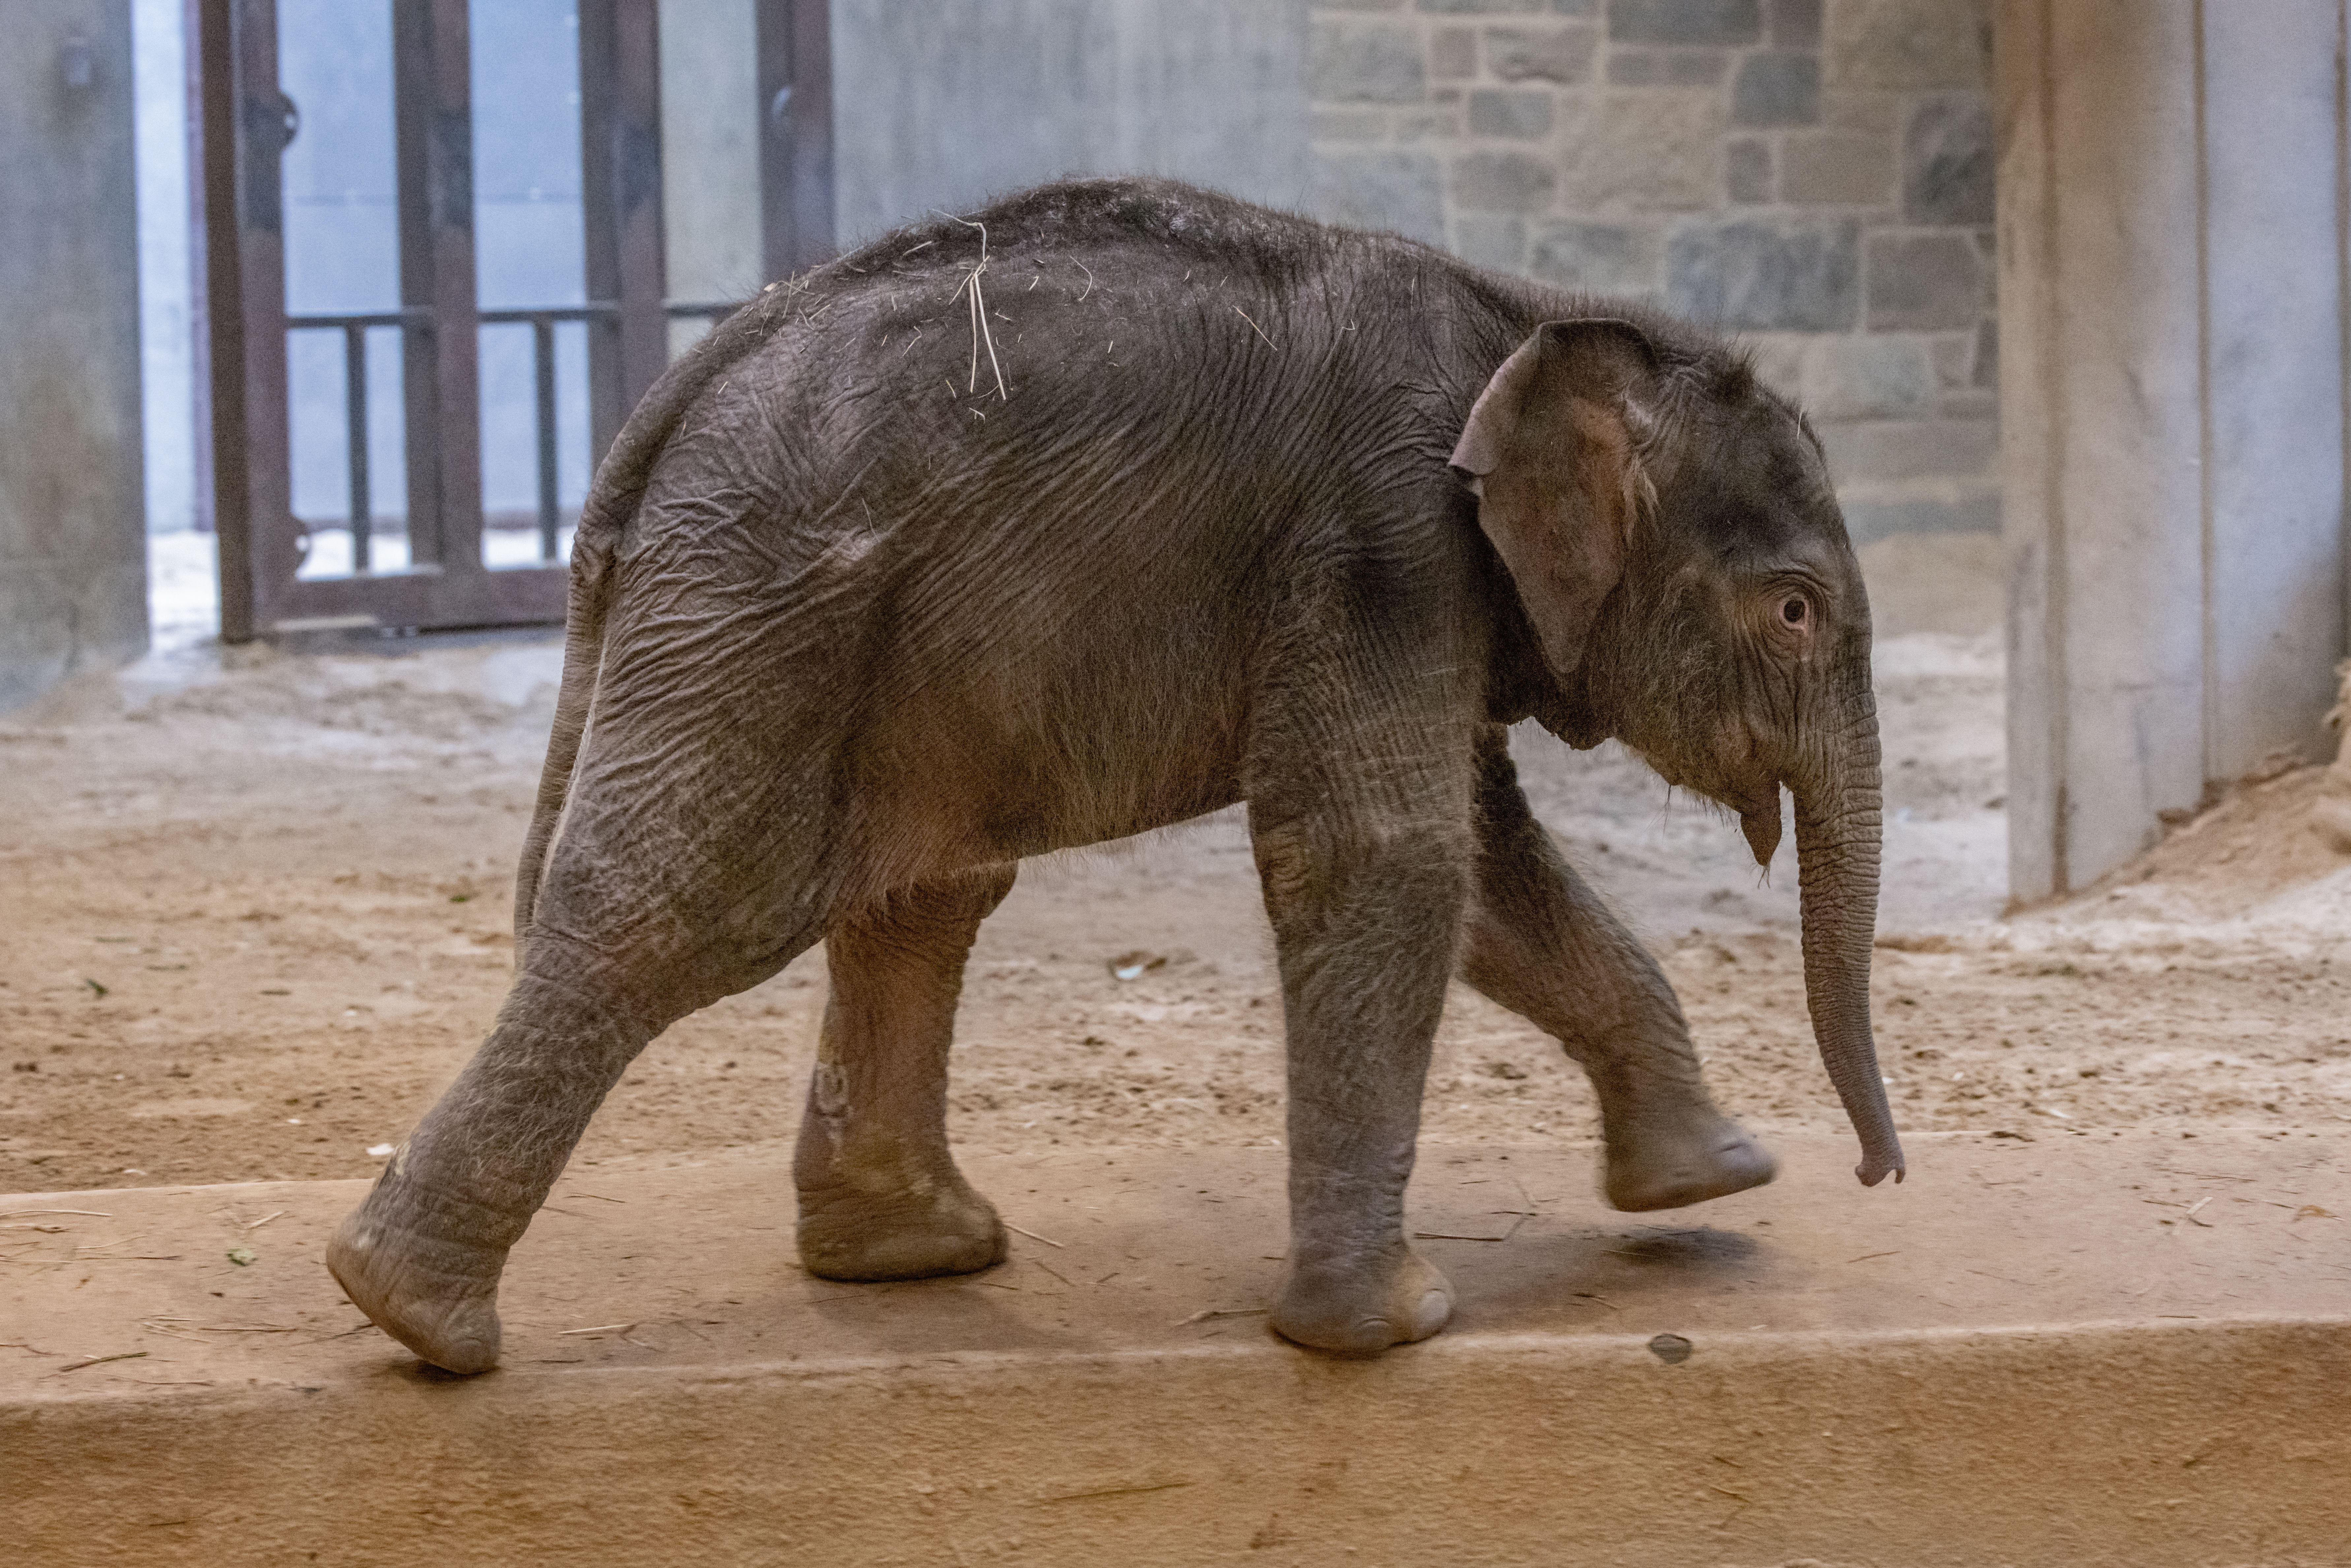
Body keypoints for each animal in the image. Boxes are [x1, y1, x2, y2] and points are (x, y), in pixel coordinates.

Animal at [327, 177, 1902, 1373]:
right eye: (1794, 611)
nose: (1875, 1175)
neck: (1525, 313)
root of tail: (657, 418)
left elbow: (1489, 873)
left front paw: (1710, 1179)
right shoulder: (1380, 535)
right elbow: (1392, 856)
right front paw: (1389, 1333)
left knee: (919, 895)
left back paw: (910, 1255)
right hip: (761, 603)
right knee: (684, 907)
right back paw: (413, 1319)